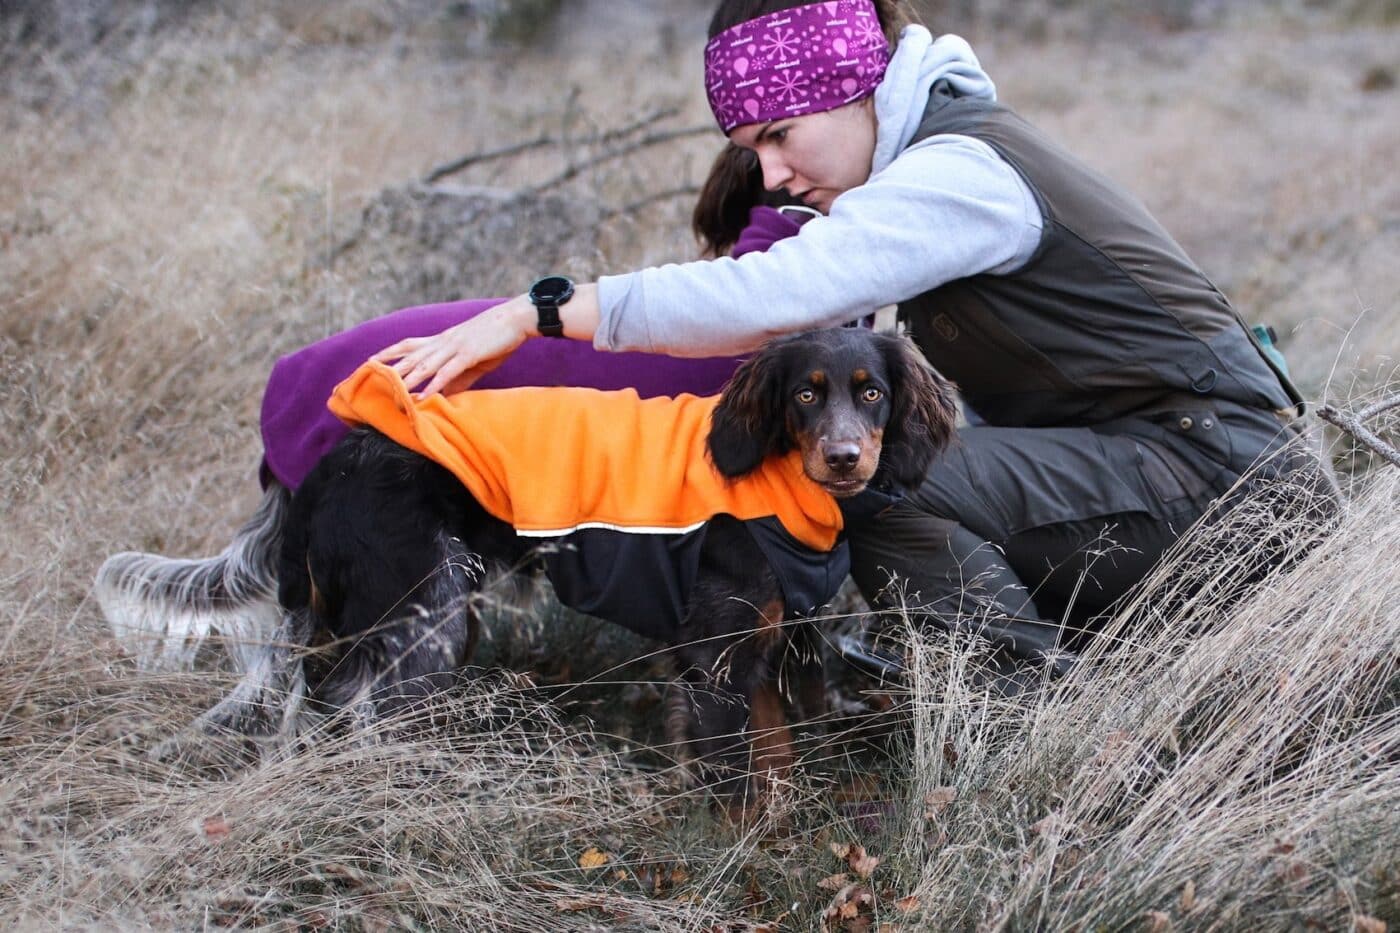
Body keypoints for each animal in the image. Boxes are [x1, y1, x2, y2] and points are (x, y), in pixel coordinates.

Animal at [95, 325, 952, 806]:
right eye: (805, 396)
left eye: (871, 392)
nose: (844, 457)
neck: (775, 482)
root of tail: (322, 471)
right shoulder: (719, 657)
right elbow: (744, 776)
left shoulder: (756, 650)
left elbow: (772, 759)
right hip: (425, 619)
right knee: (358, 716)